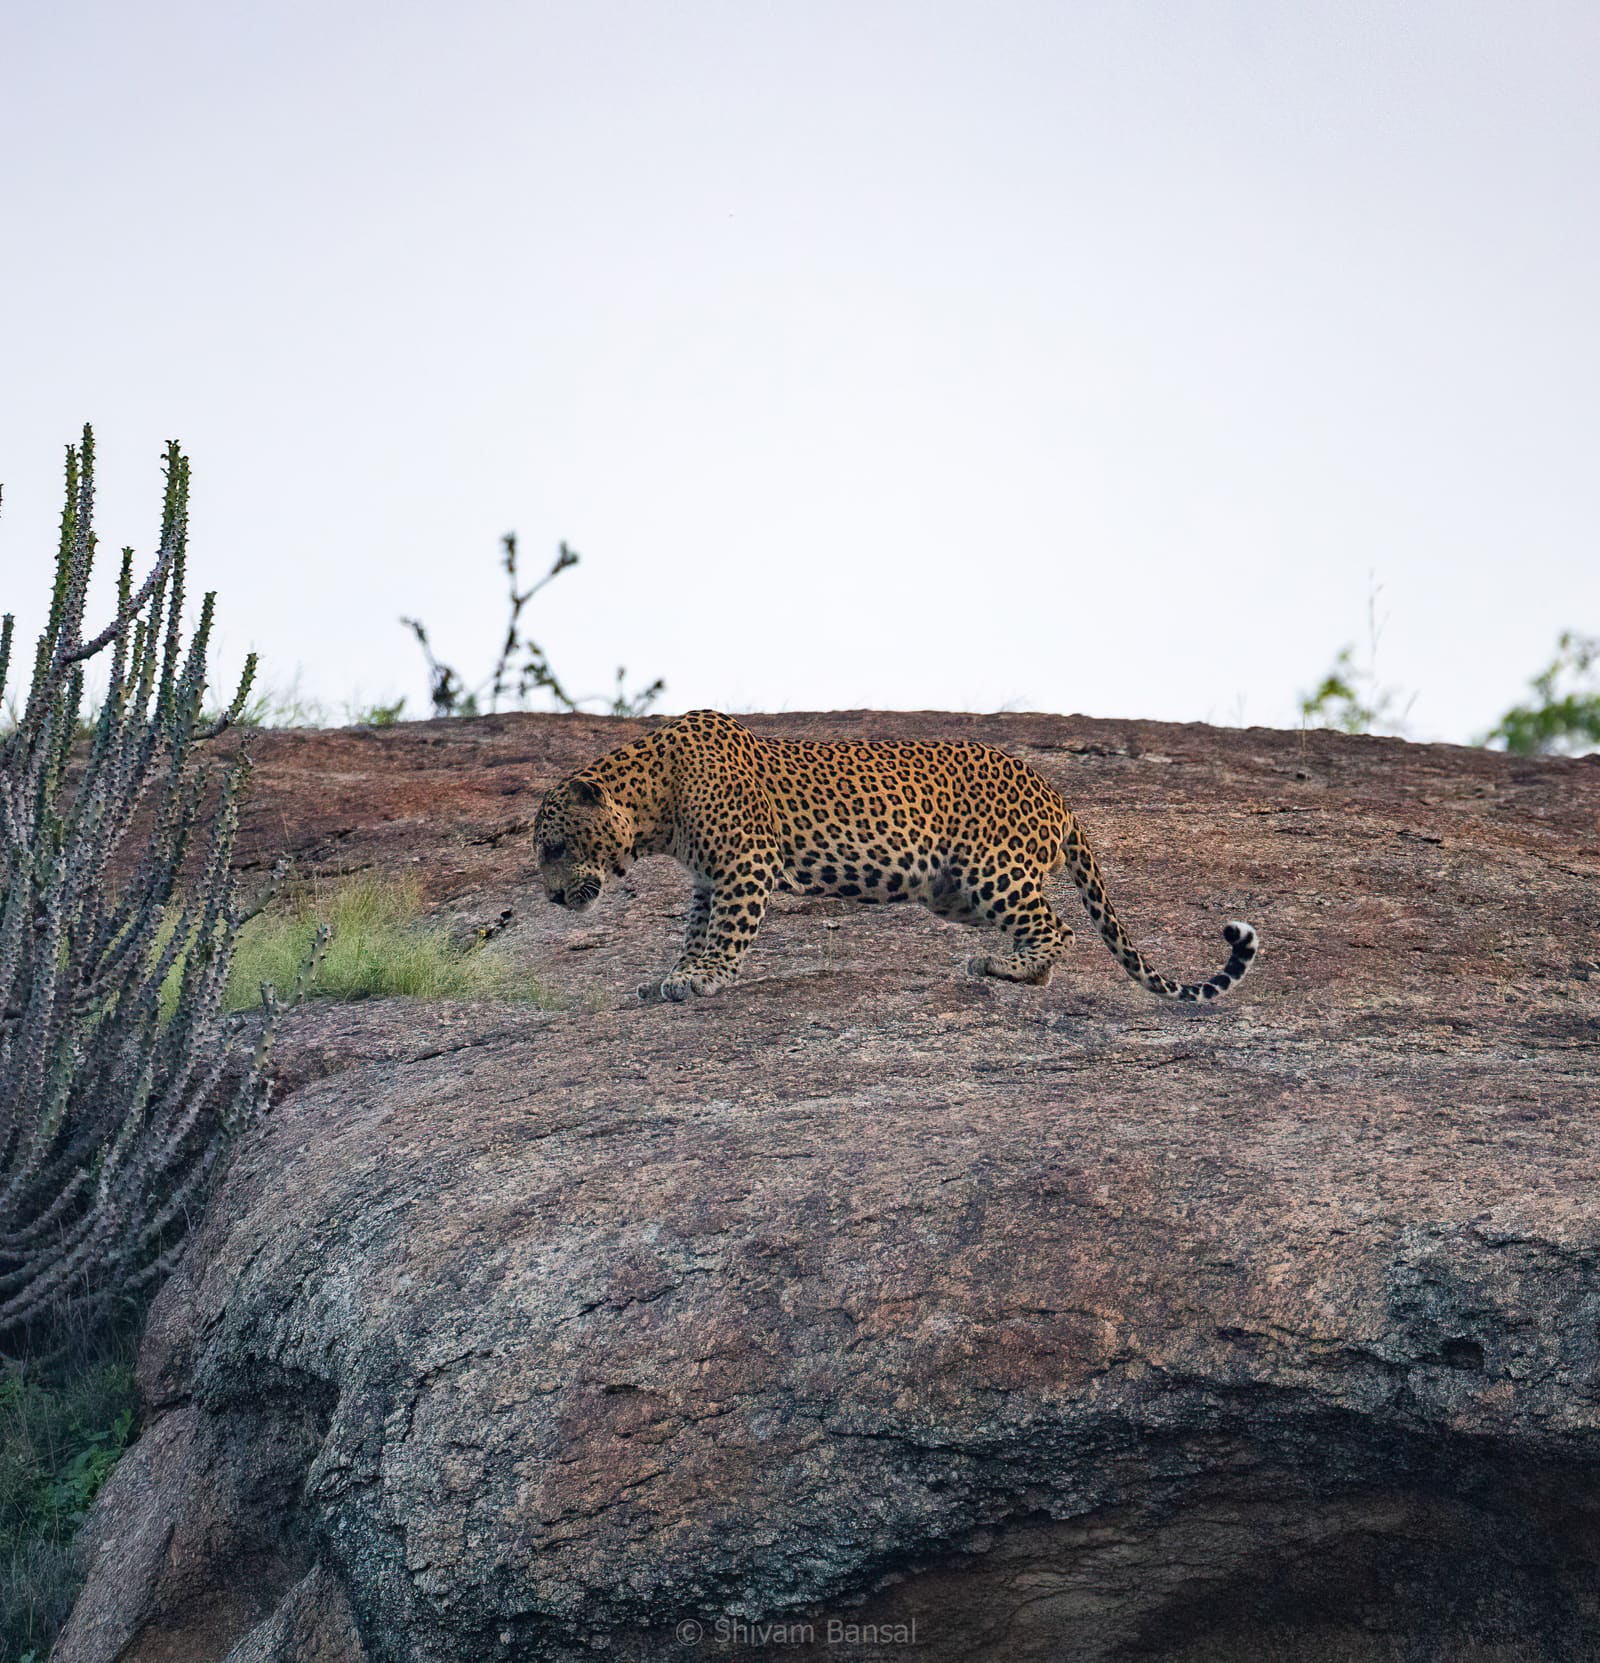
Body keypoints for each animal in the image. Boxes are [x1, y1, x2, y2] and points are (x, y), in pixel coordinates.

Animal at [532, 709, 1259, 1004]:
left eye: (555, 847)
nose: (550, 897)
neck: (654, 800)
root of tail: (1059, 795)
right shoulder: (708, 880)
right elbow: (693, 932)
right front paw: (673, 973)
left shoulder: (743, 867)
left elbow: (724, 936)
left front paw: (701, 979)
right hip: (952, 890)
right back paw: (1019, 972)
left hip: (989, 869)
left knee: (1059, 927)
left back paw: (1003, 966)